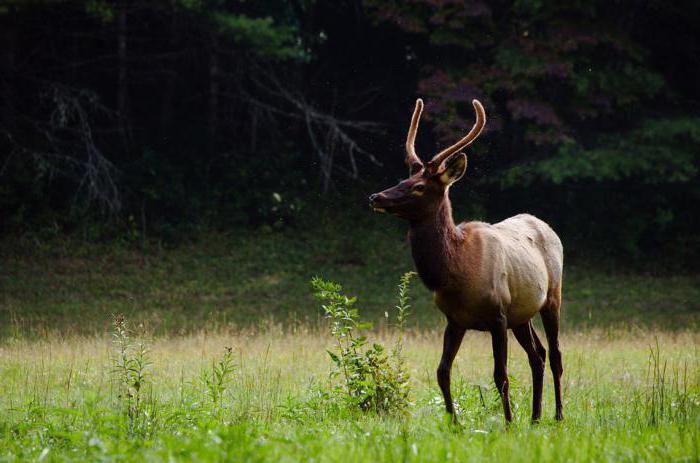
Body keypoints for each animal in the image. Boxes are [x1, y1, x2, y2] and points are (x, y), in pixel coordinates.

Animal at [370, 99, 568, 424]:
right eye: (403, 179)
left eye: (419, 187)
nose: (376, 197)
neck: (456, 271)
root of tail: (548, 227)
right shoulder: (455, 319)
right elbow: (442, 372)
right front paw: (454, 423)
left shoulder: (498, 314)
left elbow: (501, 375)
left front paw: (508, 423)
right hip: (522, 314)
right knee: (537, 355)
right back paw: (535, 417)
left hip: (552, 296)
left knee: (555, 355)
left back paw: (558, 415)